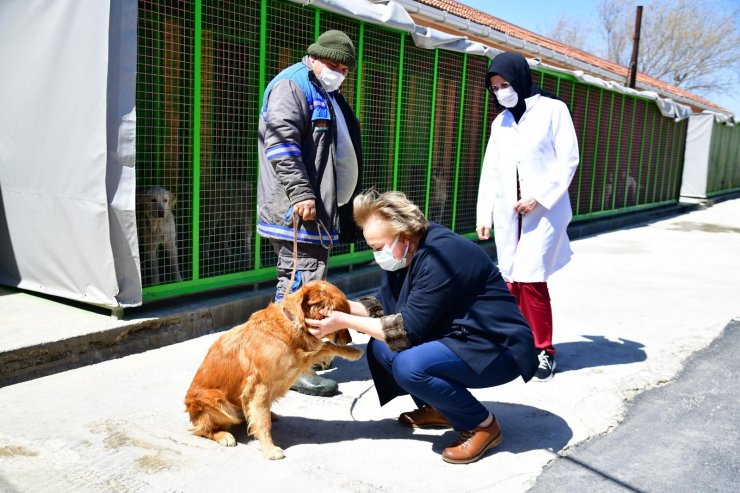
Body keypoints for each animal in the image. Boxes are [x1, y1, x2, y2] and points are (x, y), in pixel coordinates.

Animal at [185, 278, 364, 460]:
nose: (350, 339)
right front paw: (269, 448)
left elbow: (327, 346)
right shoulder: (260, 386)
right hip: (218, 401)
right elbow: (263, 420)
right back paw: (223, 435)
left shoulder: (301, 358)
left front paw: (352, 352)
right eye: (341, 316)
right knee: (201, 430)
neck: (290, 323)